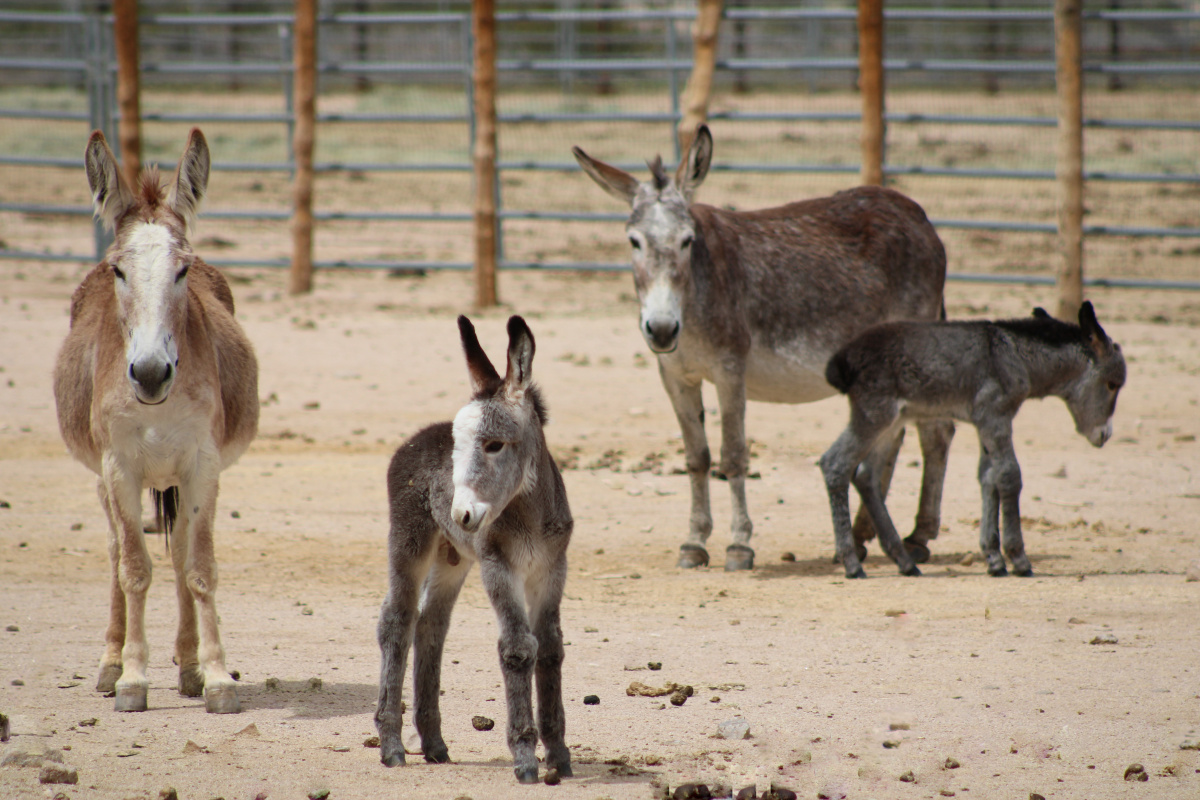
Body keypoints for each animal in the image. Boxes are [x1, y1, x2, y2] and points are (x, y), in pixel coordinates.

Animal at [379, 316, 576, 786]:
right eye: (458, 447)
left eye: (493, 445)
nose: (463, 513)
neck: (529, 513)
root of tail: (417, 437)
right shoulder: (498, 566)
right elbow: (519, 648)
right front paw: (525, 757)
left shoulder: (552, 569)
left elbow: (551, 648)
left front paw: (558, 754)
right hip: (410, 543)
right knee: (397, 621)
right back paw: (392, 745)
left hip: (452, 559)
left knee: (431, 625)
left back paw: (433, 743)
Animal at [820, 303, 1118, 578]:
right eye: (1113, 384)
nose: (1105, 435)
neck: (1014, 355)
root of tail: (843, 358)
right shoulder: (995, 418)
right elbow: (1009, 475)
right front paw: (1018, 559)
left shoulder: (985, 423)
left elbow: (988, 478)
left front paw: (994, 559)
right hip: (875, 415)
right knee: (834, 464)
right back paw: (852, 564)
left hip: (891, 424)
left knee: (865, 475)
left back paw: (904, 561)